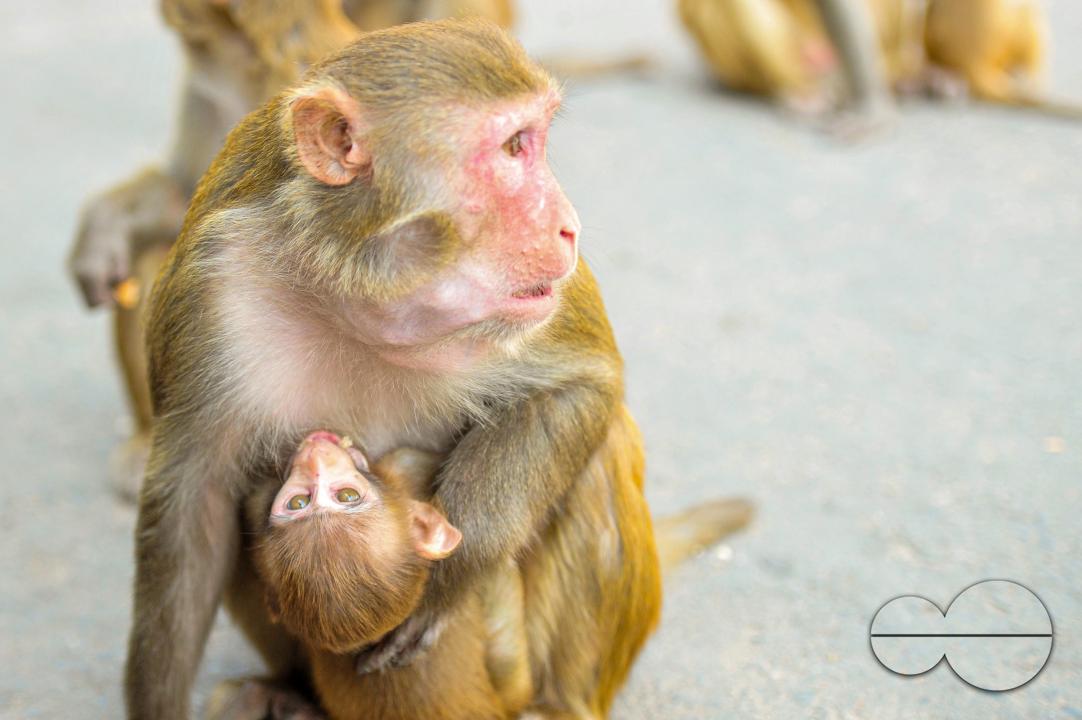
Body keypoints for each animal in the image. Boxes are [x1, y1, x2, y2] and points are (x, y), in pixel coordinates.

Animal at [126, 20, 664, 720]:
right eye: (514, 146)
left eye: (532, 141)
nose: (568, 228)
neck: (359, 293)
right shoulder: (208, 285)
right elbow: (196, 505)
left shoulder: (537, 307)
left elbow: (585, 381)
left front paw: (442, 583)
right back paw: (287, 691)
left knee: (595, 457)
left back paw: (558, 703)